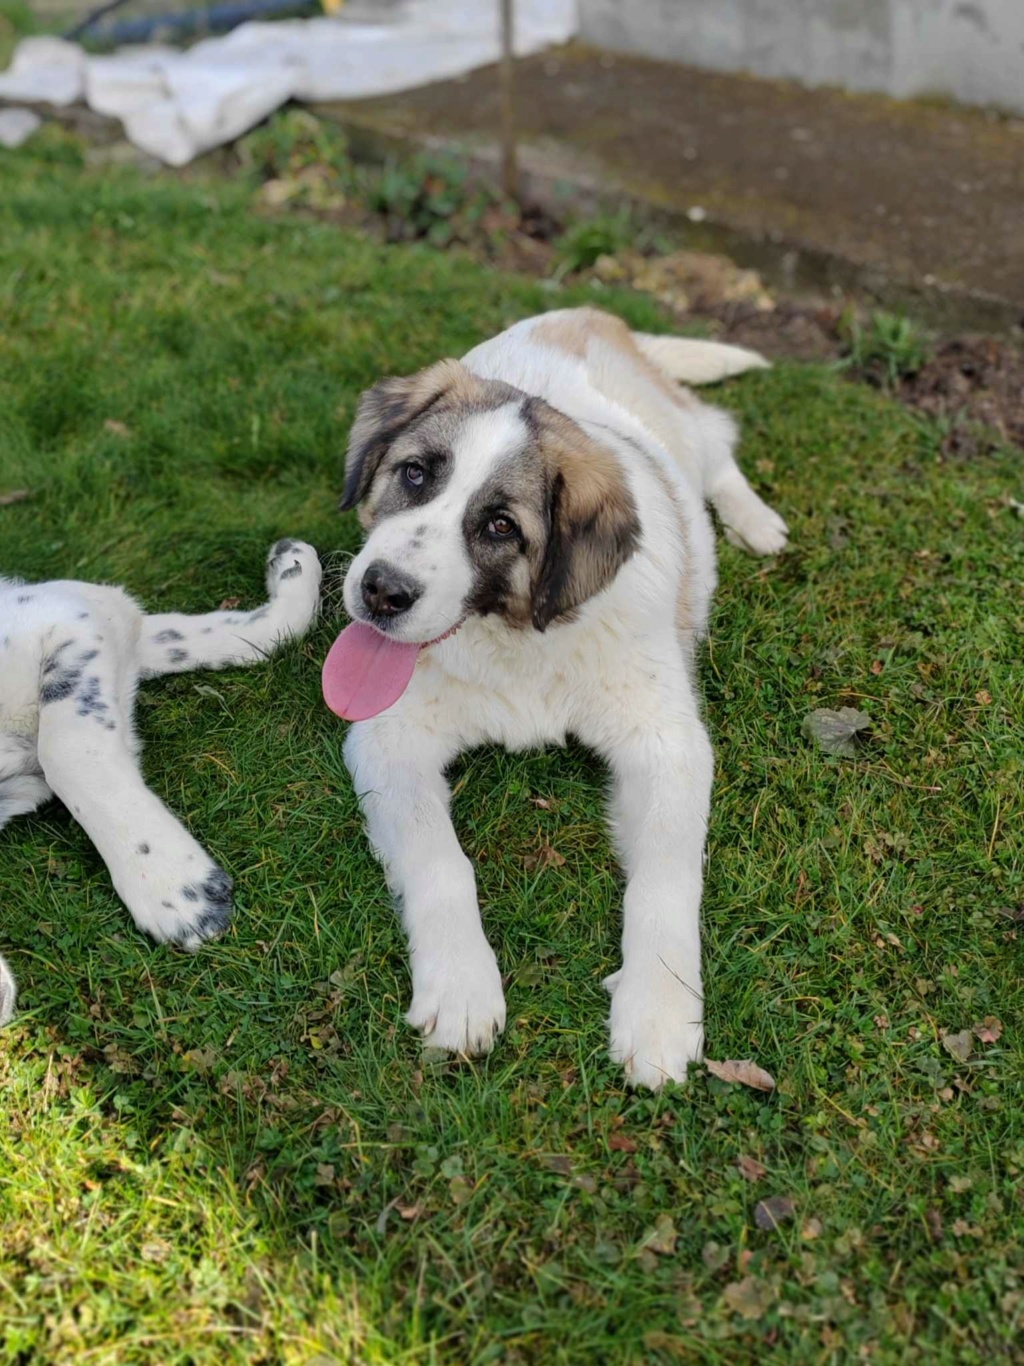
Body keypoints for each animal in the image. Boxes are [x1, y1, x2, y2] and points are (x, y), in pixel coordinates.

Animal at [324, 307, 791, 1087]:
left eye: (500, 526)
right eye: (414, 473)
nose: (381, 592)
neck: (519, 639)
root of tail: (587, 314)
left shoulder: (667, 745)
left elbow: (666, 881)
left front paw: (659, 1009)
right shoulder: (389, 740)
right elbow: (441, 862)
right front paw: (460, 986)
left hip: (688, 435)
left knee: (717, 443)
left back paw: (756, 522)